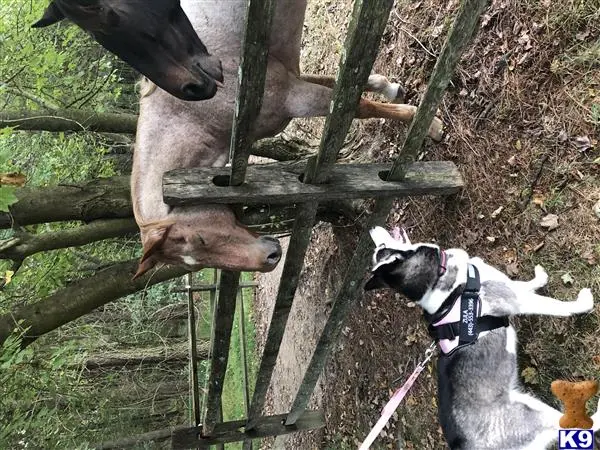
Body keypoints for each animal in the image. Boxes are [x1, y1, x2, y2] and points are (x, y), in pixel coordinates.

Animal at [364, 227, 596, 450]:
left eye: (380, 249)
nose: (372, 229)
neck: (442, 278)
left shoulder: (507, 286)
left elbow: (523, 283)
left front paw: (539, 277)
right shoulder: (514, 299)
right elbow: (557, 306)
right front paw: (583, 303)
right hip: (534, 414)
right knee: (581, 425)